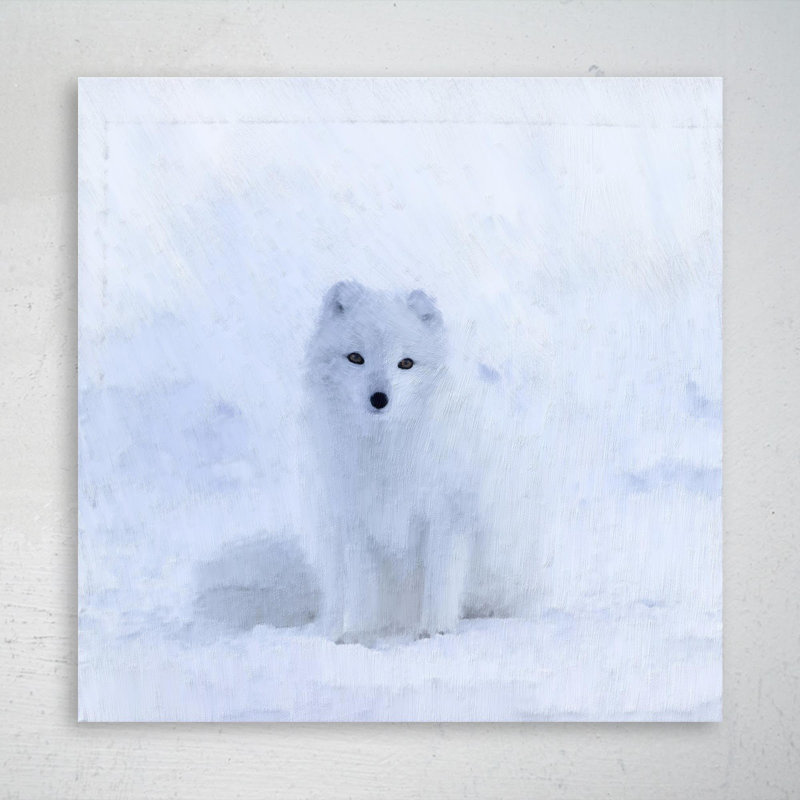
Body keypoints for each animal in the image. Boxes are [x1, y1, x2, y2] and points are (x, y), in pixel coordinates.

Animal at [304, 280, 476, 643]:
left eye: (406, 363)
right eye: (356, 358)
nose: (379, 399)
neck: (386, 452)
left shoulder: (445, 513)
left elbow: (441, 578)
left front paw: (437, 631)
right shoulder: (356, 520)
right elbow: (361, 588)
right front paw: (356, 636)